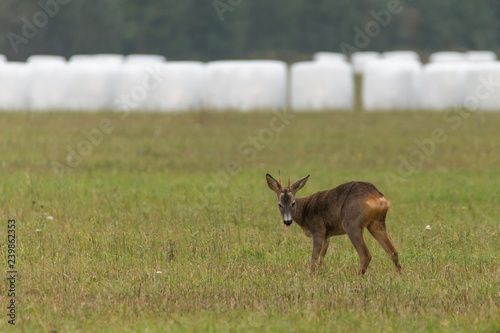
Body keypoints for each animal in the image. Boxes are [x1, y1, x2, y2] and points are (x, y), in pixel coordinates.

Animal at [266, 171, 402, 274]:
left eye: (293, 203)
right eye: (280, 204)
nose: (287, 221)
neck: (304, 211)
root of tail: (378, 198)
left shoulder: (318, 229)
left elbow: (314, 258)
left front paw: (310, 276)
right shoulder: (327, 235)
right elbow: (322, 258)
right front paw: (320, 273)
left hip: (352, 223)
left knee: (365, 255)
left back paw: (358, 278)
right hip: (377, 223)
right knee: (393, 251)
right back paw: (399, 275)